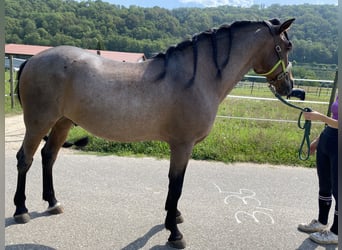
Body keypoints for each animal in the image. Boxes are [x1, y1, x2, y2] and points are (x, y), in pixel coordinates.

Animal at [14, 19, 294, 248]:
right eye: (287, 46)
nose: (289, 86)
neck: (196, 76)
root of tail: (32, 60)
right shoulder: (182, 145)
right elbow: (176, 184)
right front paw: (174, 232)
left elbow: (175, 186)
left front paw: (174, 217)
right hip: (38, 123)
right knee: (25, 159)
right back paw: (21, 209)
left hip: (62, 122)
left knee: (48, 156)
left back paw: (53, 202)